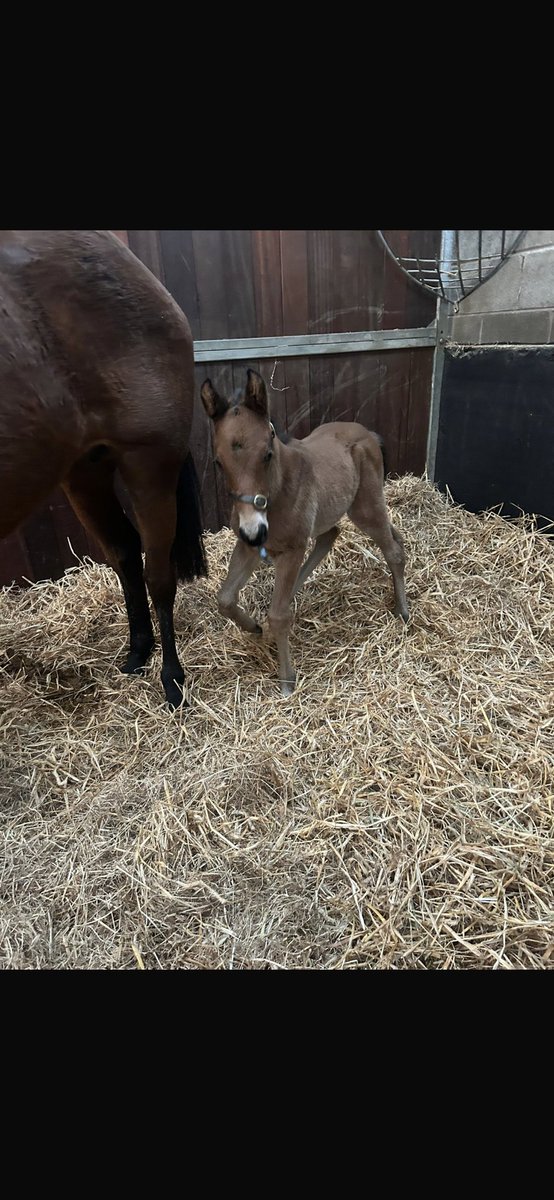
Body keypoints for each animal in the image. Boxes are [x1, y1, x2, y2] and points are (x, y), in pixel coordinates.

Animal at [0, 230, 207, 708]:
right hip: (84, 472)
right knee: (126, 552)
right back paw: (138, 653)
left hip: (148, 466)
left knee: (158, 574)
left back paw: (172, 679)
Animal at [201, 368, 409, 696]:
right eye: (218, 462)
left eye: (267, 454)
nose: (255, 530)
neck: (277, 491)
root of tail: (368, 434)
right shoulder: (248, 546)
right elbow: (225, 598)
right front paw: (254, 627)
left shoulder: (291, 548)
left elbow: (278, 616)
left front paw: (287, 680)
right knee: (337, 534)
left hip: (366, 507)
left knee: (393, 551)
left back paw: (402, 610)